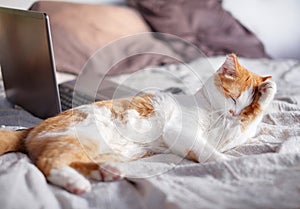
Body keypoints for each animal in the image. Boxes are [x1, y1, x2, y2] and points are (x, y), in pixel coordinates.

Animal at [0, 53, 276, 193]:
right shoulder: (181, 131)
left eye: (245, 107)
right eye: (233, 97)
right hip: (80, 138)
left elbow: (241, 129)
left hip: (96, 148)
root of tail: (33, 127)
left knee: (72, 161)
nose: (234, 113)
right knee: (49, 163)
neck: (210, 109)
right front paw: (225, 161)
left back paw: (106, 172)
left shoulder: (223, 133)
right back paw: (75, 183)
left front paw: (266, 92)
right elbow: (208, 150)